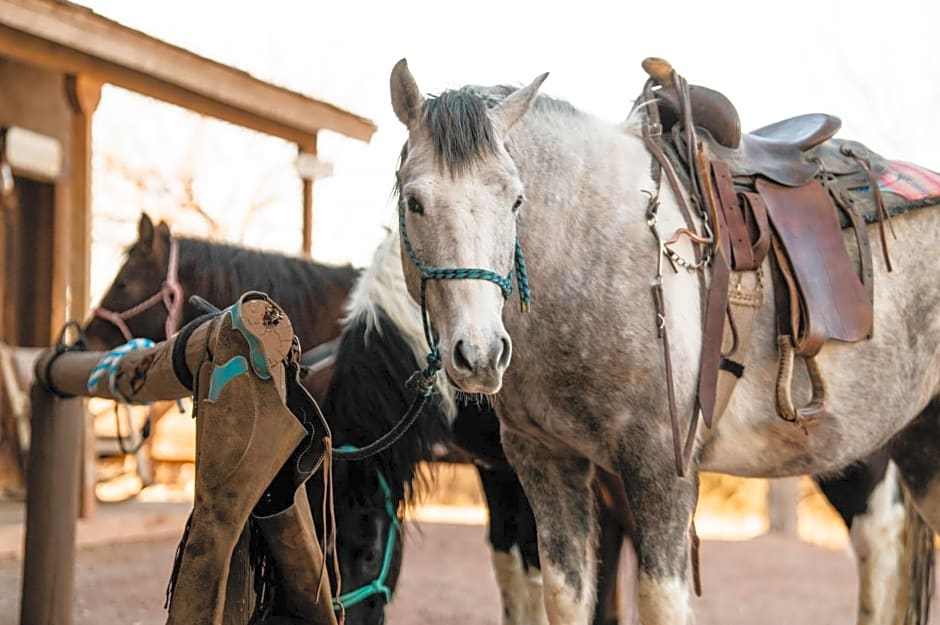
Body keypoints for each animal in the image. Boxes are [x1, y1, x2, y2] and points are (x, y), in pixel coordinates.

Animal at [386, 59, 936, 624]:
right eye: (414, 201)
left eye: (515, 199)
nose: (480, 355)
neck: (589, 253)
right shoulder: (543, 462)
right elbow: (565, 595)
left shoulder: (660, 472)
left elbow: (659, 601)